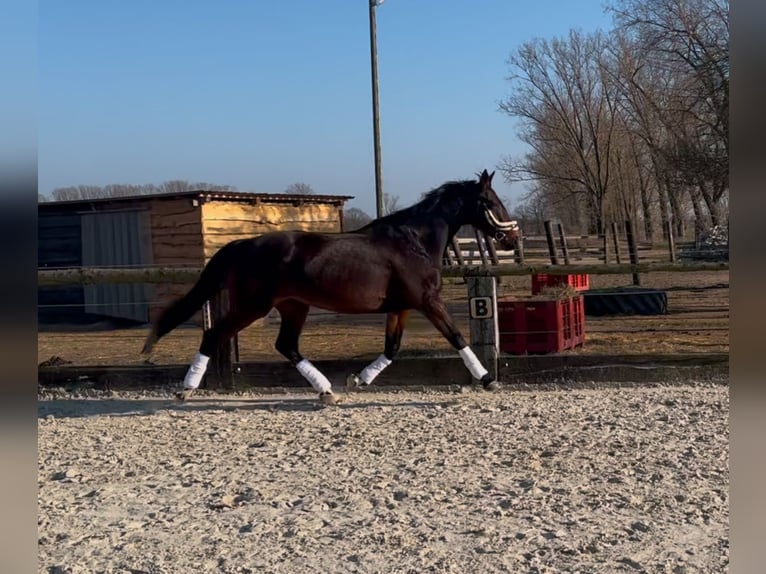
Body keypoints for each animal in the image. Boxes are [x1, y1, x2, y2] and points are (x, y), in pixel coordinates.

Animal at [141, 170, 520, 404]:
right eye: (492, 202)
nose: (512, 238)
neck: (414, 241)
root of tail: (242, 245)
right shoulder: (428, 301)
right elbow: (456, 337)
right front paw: (488, 379)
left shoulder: (400, 307)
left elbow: (392, 349)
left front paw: (358, 379)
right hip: (253, 306)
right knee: (214, 334)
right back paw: (186, 390)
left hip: (293, 306)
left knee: (286, 345)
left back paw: (327, 391)